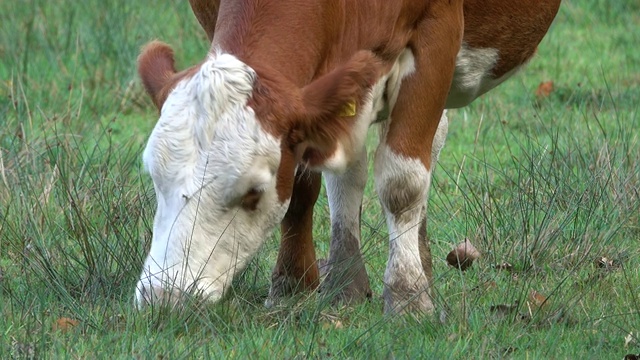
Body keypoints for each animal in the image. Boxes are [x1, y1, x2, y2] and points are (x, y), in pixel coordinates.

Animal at [135, 0, 560, 316]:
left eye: (253, 192)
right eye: (154, 180)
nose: (163, 297)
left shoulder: (437, 32)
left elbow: (403, 183)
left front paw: (407, 296)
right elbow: (306, 179)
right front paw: (293, 284)